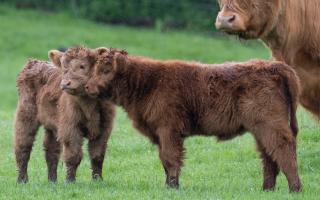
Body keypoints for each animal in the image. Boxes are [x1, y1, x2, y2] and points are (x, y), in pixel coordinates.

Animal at [15, 47, 115, 183]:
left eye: (82, 66)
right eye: (64, 67)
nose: (65, 83)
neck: (89, 105)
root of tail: (33, 62)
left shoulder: (104, 128)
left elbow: (97, 155)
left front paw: (97, 180)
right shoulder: (70, 127)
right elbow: (73, 154)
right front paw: (70, 181)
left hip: (52, 124)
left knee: (51, 150)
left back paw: (52, 181)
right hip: (26, 114)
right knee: (23, 145)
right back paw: (22, 180)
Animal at [84, 49, 302, 192]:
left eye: (105, 70)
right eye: (94, 69)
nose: (86, 87)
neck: (147, 83)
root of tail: (273, 65)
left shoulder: (169, 129)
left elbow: (170, 157)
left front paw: (172, 187)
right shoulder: (161, 133)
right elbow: (164, 159)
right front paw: (170, 184)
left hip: (271, 125)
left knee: (283, 150)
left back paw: (295, 188)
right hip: (260, 129)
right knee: (269, 156)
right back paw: (267, 189)